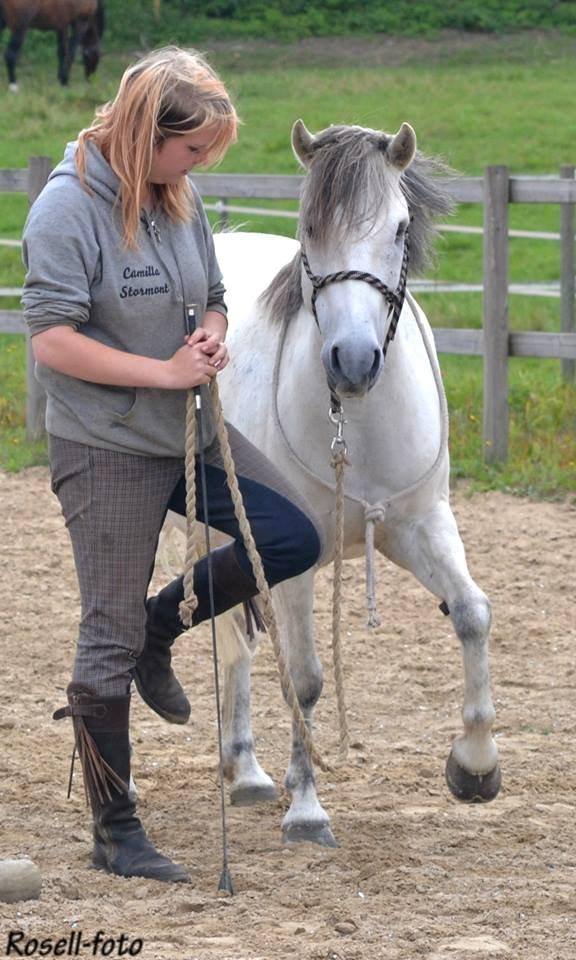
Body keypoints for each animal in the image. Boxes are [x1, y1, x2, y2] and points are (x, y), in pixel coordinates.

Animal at [174, 120, 500, 848]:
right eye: (308, 227)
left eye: (401, 227)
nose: (353, 361)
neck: (358, 423)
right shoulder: (295, 562)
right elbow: (305, 677)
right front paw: (307, 808)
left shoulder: (422, 525)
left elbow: (471, 614)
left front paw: (475, 768)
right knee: (230, 639)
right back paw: (246, 772)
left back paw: (247, 769)